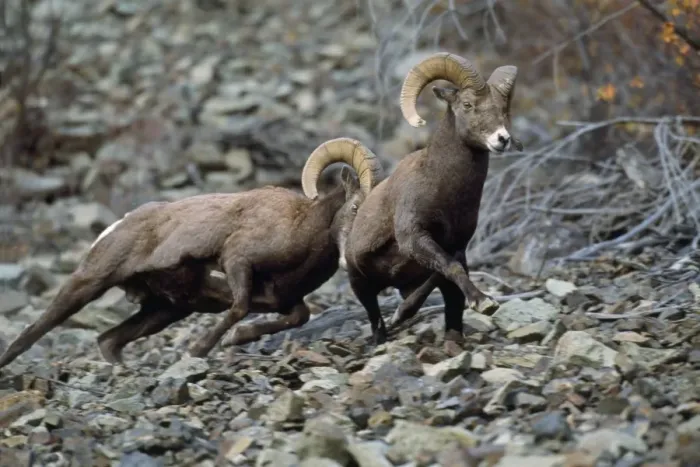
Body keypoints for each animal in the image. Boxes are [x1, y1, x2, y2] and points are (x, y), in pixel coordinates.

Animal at [0, 138, 382, 369]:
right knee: (34, 331)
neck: (302, 225)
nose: (354, 254)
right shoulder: (236, 260)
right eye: (354, 207)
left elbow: (296, 316)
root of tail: (118, 225)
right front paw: (201, 349)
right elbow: (239, 307)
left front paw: (236, 339)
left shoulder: (284, 300)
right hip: (89, 283)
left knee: (108, 341)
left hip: (163, 311)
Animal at [343, 52, 522, 345]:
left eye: (503, 108)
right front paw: (484, 302)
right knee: (375, 320)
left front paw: (403, 313)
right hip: (360, 285)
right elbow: (449, 267)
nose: (502, 139)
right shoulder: (414, 237)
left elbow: (445, 270)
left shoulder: (457, 245)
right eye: (467, 104)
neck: (445, 189)